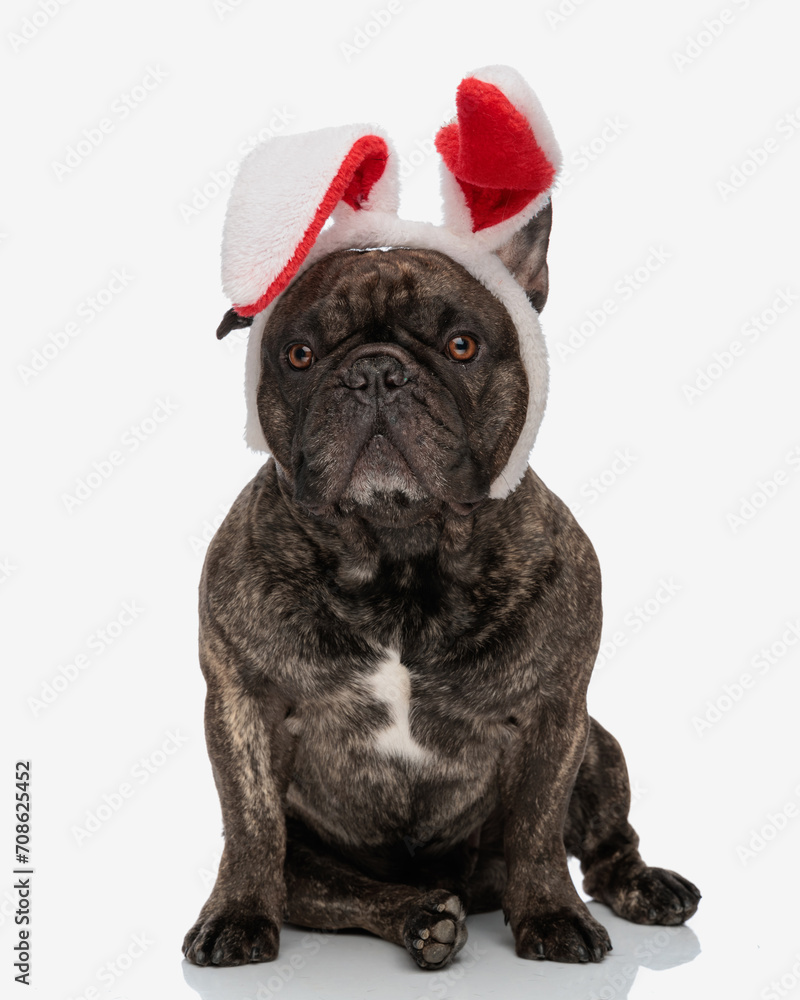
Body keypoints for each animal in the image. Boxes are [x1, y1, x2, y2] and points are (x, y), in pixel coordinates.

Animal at [183, 62, 700, 968]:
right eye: (300, 354)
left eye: (461, 346)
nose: (376, 372)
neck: (399, 554)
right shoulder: (240, 702)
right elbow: (248, 825)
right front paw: (237, 915)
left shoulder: (557, 713)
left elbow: (537, 825)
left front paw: (552, 914)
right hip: (332, 864)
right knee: (326, 885)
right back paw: (424, 915)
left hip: (600, 745)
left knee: (604, 842)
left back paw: (638, 885)